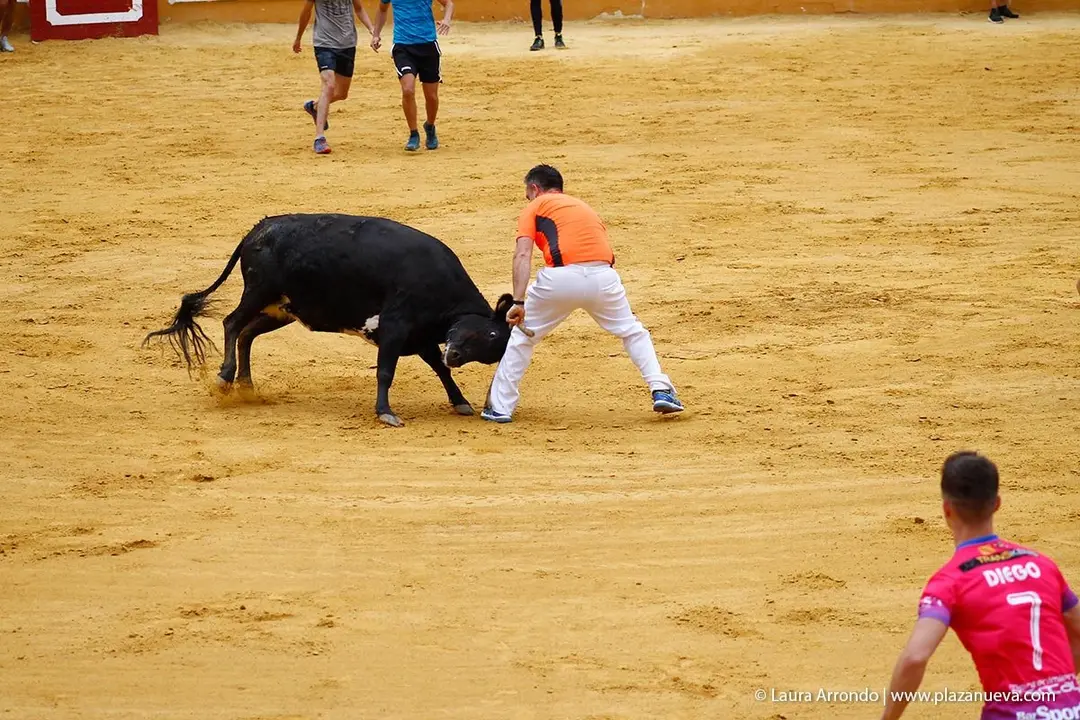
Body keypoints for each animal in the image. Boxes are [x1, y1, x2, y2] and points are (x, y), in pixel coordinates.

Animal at [144, 213, 516, 427]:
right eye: (491, 333)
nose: (455, 355)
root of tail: (258, 229)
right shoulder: (396, 328)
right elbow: (386, 371)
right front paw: (386, 413)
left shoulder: (419, 336)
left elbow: (438, 370)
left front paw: (460, 402)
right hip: (259, 293)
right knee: (232, 324)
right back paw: (224, 378)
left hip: (283, 309)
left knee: (247, 333)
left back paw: (247, 387)